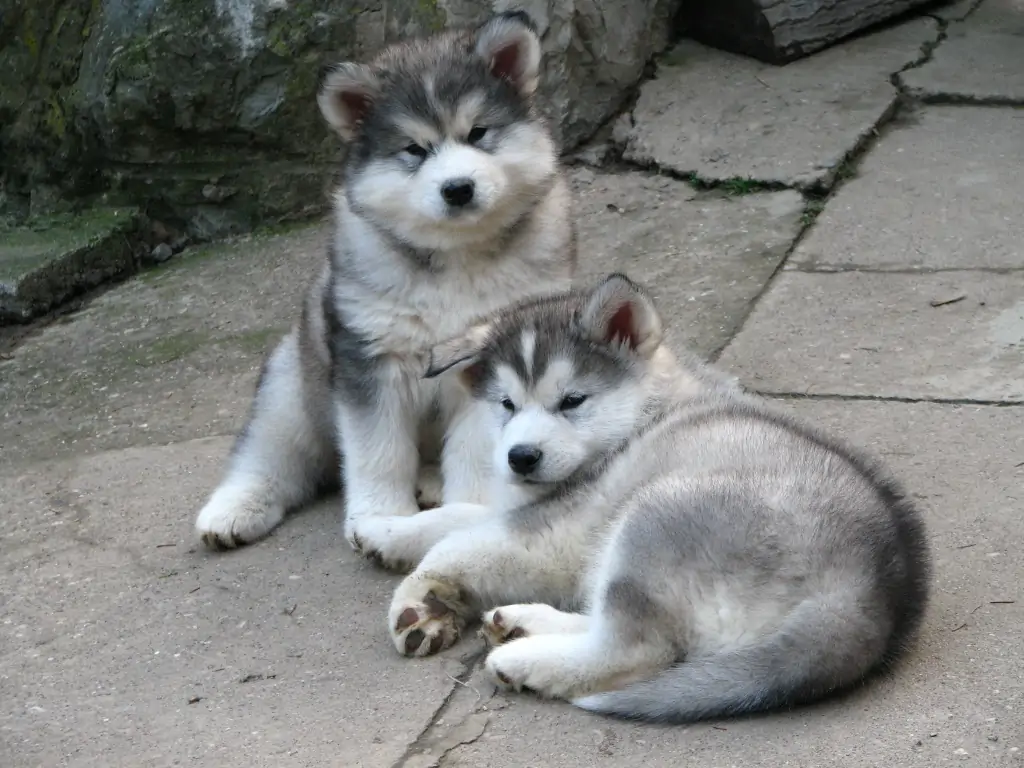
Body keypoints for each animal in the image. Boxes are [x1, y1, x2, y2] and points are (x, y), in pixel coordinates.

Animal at [192, 13, 577, 552]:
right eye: (414, 149)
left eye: (478, 132)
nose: (458, 189)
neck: (456, 259)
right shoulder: (371, 360)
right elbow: (378, 449)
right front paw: (381, 516)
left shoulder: (489, 363)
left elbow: (477, 447)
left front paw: (466, 510)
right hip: (291, 386)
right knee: (269, 454)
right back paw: (235, 508)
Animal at [366, 278, 929, 729]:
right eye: (505, 404)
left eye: (572, 401)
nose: (520, 457)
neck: (645, 413)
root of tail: (870, 595)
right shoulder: (532, 511)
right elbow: (457, 517)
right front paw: (385, 531)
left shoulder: (555, 532)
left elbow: (459, 542)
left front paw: (418, 597)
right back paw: (525, 623)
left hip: (652, 512)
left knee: (634, 650)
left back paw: (527, 659)